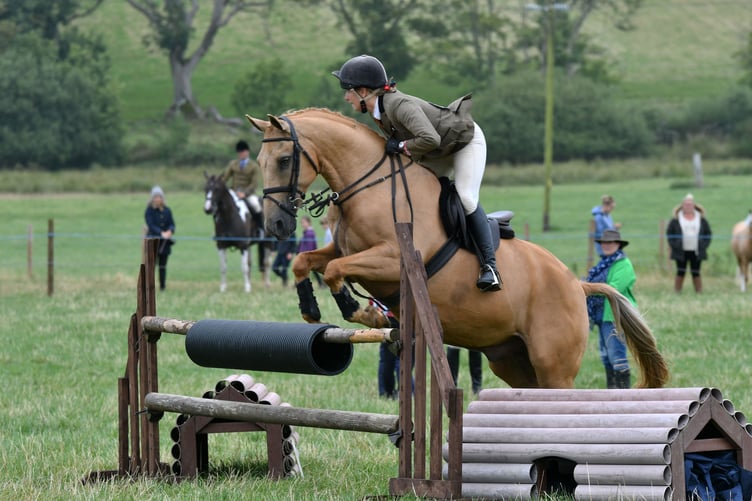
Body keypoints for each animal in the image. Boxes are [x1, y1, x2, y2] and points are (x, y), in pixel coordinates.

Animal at [246, 108, 668, 389]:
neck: (370, 185)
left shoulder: (393, 259)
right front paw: (310, 307)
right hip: (512, 360)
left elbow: (336, 271)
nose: (276, 226)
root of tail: (578, 285)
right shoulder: (342, 249)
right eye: (259, 162)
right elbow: (306, 262)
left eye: (284, 159)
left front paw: (362, 311)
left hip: (554, 364)